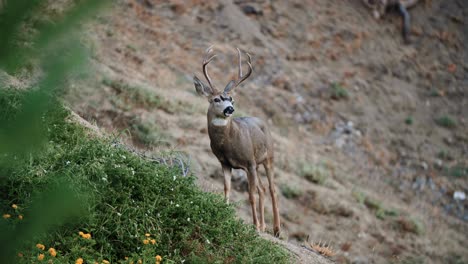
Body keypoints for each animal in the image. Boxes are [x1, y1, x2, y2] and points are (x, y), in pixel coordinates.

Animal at [192, 46, 280, 237]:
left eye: (232, 99)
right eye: (216, 99)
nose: (230, 109)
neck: (229, 144)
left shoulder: (249, 162)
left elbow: (251, 195)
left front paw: (254, 226)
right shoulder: (225, 162)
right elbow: (227, 189)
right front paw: (224, 212)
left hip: (268, 157)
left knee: (271, 189)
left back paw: (276, 229)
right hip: (257, 164)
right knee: (263, 189)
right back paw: (264, 226)